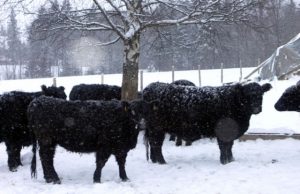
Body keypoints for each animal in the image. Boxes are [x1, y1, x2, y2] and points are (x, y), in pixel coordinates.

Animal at [143, 82, 272, 165]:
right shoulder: (223, 131)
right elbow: (224, 147)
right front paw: (225, 161)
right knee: (156, 145)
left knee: (153, 145)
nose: (256, 108)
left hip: (154, 129)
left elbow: (229, 146)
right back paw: (162, 162)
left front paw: (231, 160)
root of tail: (150, 87)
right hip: (157, 128)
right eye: (247, 95)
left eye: (261, 94)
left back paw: (155, 161)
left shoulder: (230, 133)